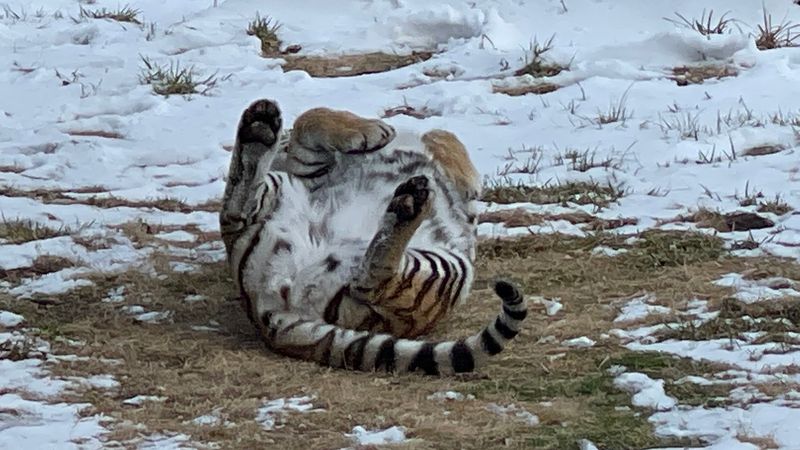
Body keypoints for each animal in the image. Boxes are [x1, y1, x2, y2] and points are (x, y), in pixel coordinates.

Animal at [219, 99, 528, 375]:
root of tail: (263, 307)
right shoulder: (308, 164)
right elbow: (312, 116)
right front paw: (377, 132)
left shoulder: (308, 166)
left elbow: (309, 119)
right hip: (447, 271)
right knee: (371, 280)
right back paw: (411, 203)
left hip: (279, 196)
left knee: (237, 209)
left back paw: (258, 128)